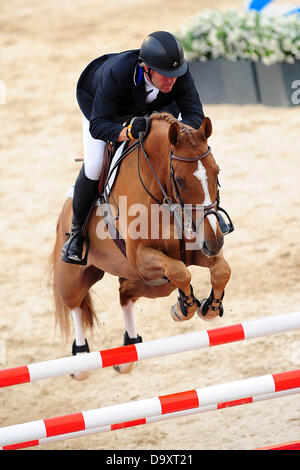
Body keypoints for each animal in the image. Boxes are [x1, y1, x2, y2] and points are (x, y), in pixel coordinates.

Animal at [49, 113, 232, 378]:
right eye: (179, 180)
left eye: (216, 172)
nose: (215, 241)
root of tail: (65, 207)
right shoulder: (141, 259)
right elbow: (179, 270)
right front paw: (185, 308)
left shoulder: (197, 249)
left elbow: (221, 271)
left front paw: (207, 308)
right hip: (74, 276)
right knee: (75, 305)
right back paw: (81, 360)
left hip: (151, 283)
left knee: (126, 294)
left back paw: (129, 352)